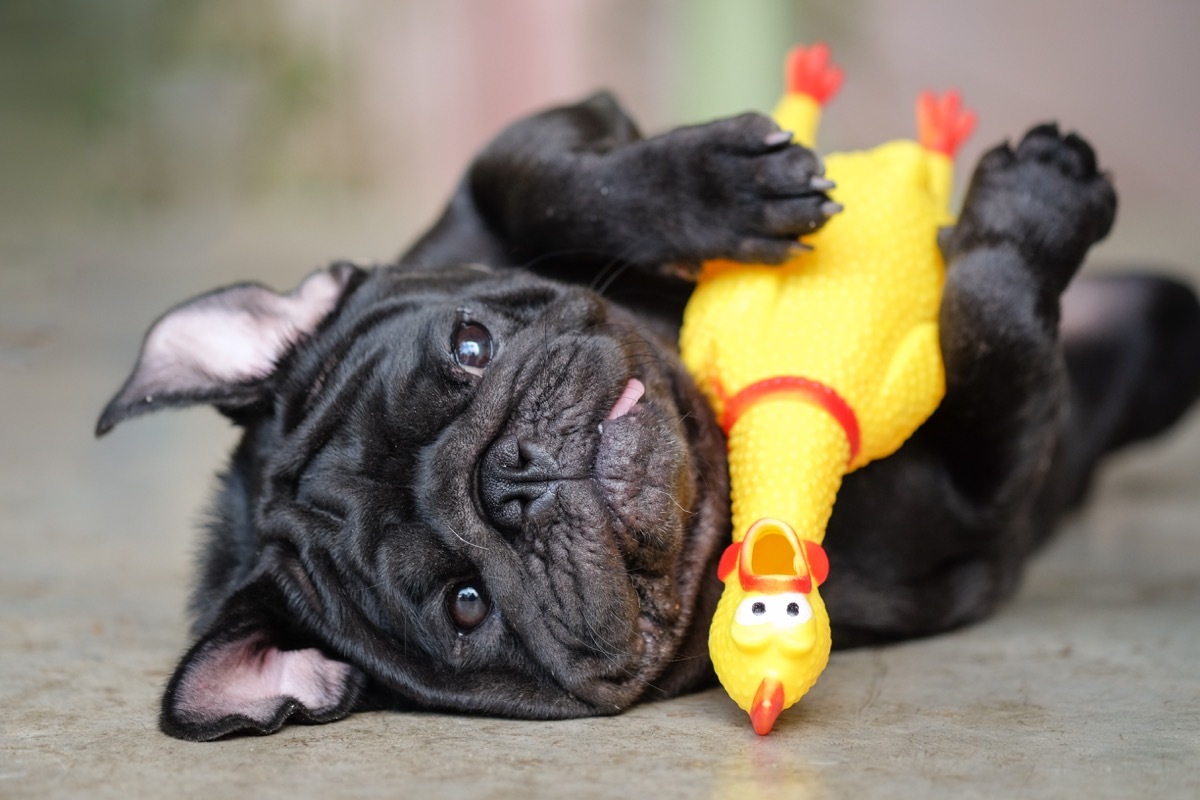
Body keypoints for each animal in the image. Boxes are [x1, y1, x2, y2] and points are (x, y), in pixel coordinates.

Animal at [96, 92, 1200, 738]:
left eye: (470, 348)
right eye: (466, 604)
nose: (513, 474)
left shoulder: (502, 173)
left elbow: (535, 176)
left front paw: (723, 183)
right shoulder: (982, 497)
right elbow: (997, 331)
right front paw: (1031, 216)